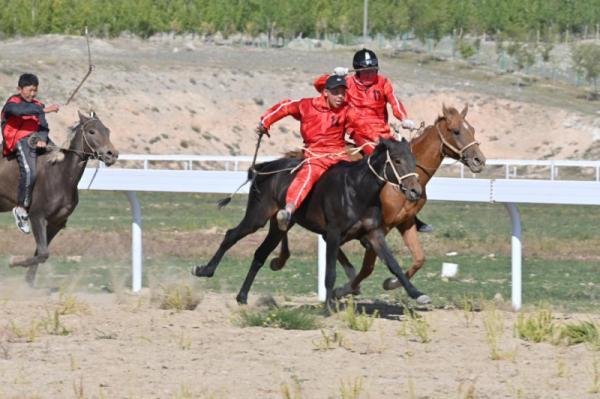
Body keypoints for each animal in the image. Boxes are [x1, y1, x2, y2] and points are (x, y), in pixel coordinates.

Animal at [0, 111, 118, 286]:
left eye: (107, 131)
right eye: (92, 131)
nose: (112, 154)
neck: (60, 175)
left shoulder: (56, 222)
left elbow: (41, 253)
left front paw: (28, 282)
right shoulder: (37, 217)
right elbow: (43, 253)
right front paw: (14, 261)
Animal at [193, 138, 432, 306]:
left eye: (414, 161)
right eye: (398, 160)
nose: (415, 191)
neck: (356, 189)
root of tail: (264, 168)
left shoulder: (374, 233)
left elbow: (393, 265)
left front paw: (417, 294)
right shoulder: (333, 234)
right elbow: (331, 273)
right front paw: (329, 306)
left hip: (278, 225)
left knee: (260, 254)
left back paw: (242, 296)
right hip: (256, 217)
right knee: (231, 235)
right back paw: (205, 270)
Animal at [270, 104, 486, 298]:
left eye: (473, 130)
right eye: (456, 131)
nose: (480, 160)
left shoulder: (405, 223)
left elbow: (419, 258)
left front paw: (391, 283)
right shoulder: (380, 227)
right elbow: (368, 267)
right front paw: (344, 289)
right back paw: (280, 260)